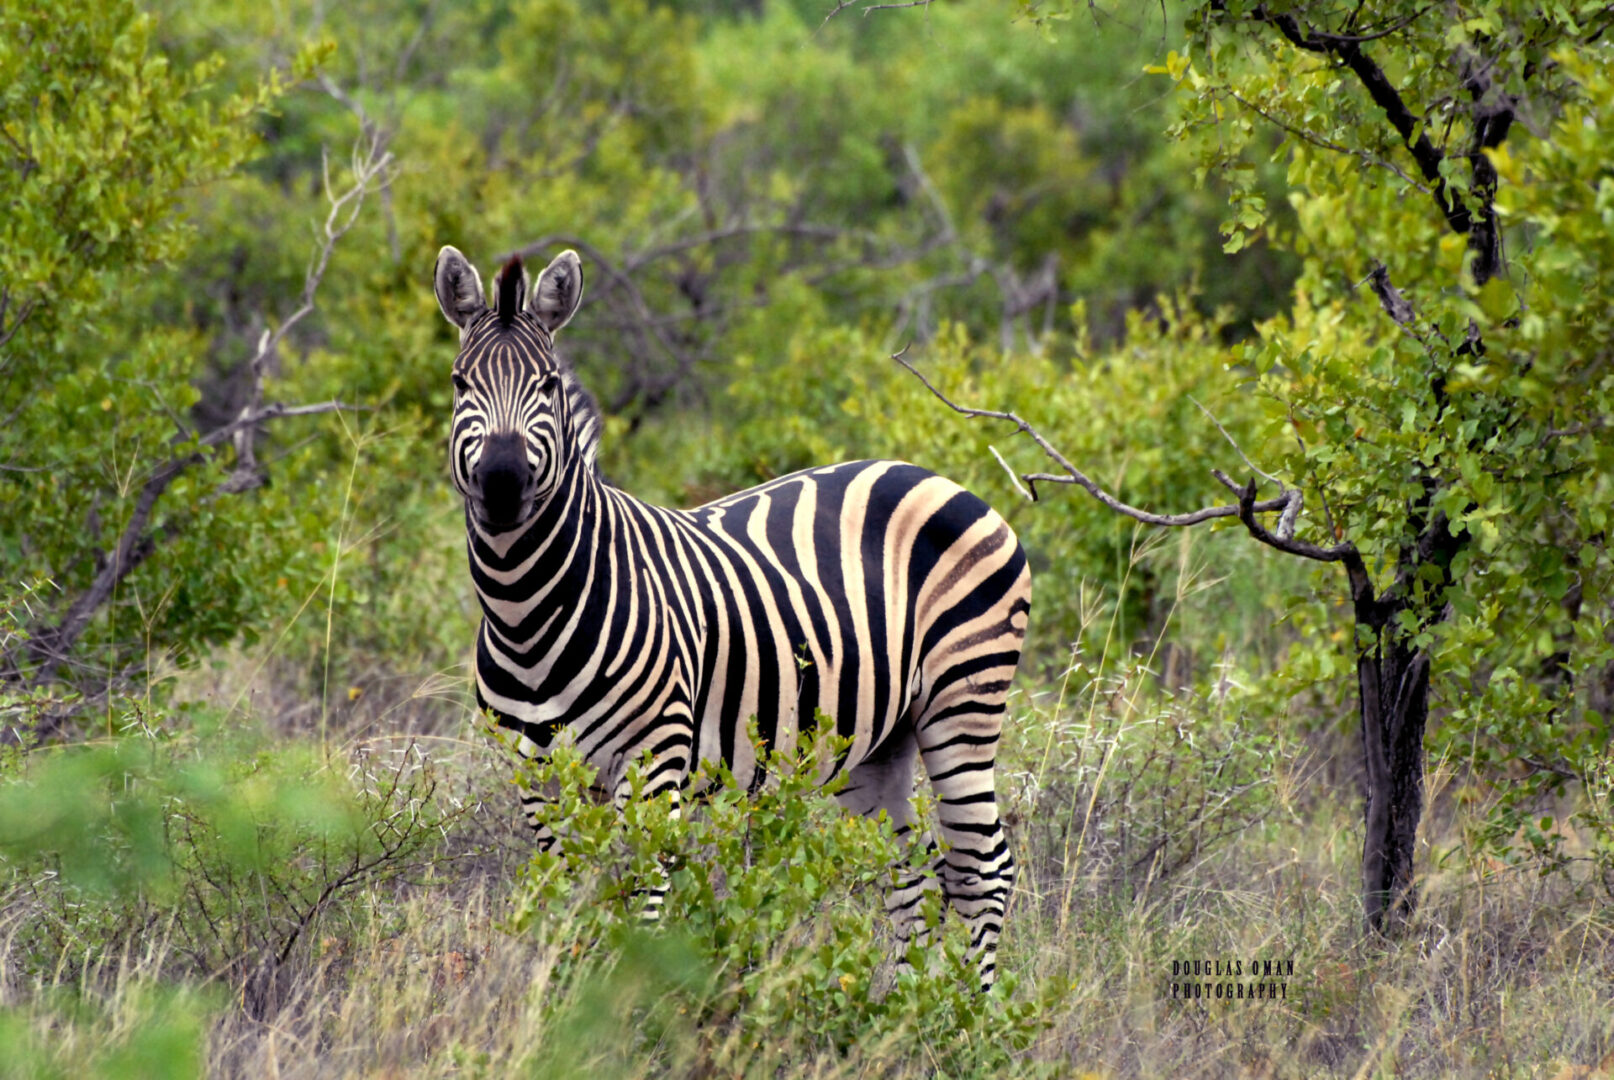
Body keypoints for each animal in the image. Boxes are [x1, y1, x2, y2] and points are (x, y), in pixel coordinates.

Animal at [432, 246, 1032, 994]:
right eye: (459, 383)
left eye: (545, 384)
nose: (503, 484)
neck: (529, 612)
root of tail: (936, 476)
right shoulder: (536, 775)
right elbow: (569, 896)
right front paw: (566, 991)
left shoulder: (655, 754)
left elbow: (642, 899)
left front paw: (628, 1003)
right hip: (878, 736)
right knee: (911, 871)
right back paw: (895, 1006)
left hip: (964, 700)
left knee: (983, 869)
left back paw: (970, 1014)